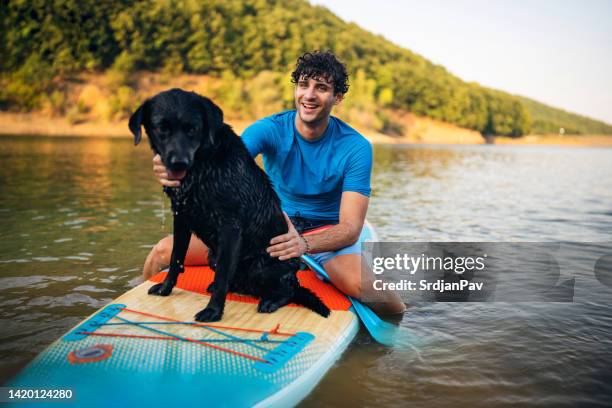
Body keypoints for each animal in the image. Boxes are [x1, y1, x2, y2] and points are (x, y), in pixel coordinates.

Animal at [128, 89, 330, 322]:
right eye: (161, 128)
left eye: (193, 128)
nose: (179, 163)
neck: (202, 166)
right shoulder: (181, 217)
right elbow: (175, 259)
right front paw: (165, 288)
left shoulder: (230, 226)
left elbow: (223, 275)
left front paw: (213, 311)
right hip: (212, 256)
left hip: (261, 266)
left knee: (288, 291)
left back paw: (271, 301)